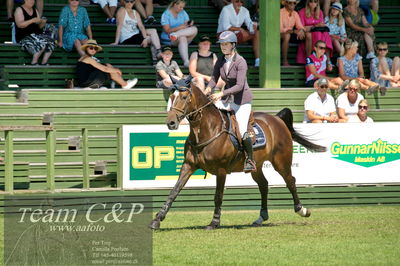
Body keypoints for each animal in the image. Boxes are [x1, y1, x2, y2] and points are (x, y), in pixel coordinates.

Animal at [150, 77, 324, 229]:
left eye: (185, 97)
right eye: (172, 97)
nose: (171, 123)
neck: (207, 129)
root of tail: (277, 119)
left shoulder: (220, 170)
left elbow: (218, 196)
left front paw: (214, 222)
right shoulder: (188, 165)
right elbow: (174, 191)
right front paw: (157, 219)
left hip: (281, 162)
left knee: (290, 181)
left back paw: (302, 210)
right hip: (256, 166)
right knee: (264, 185)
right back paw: (261, 217)